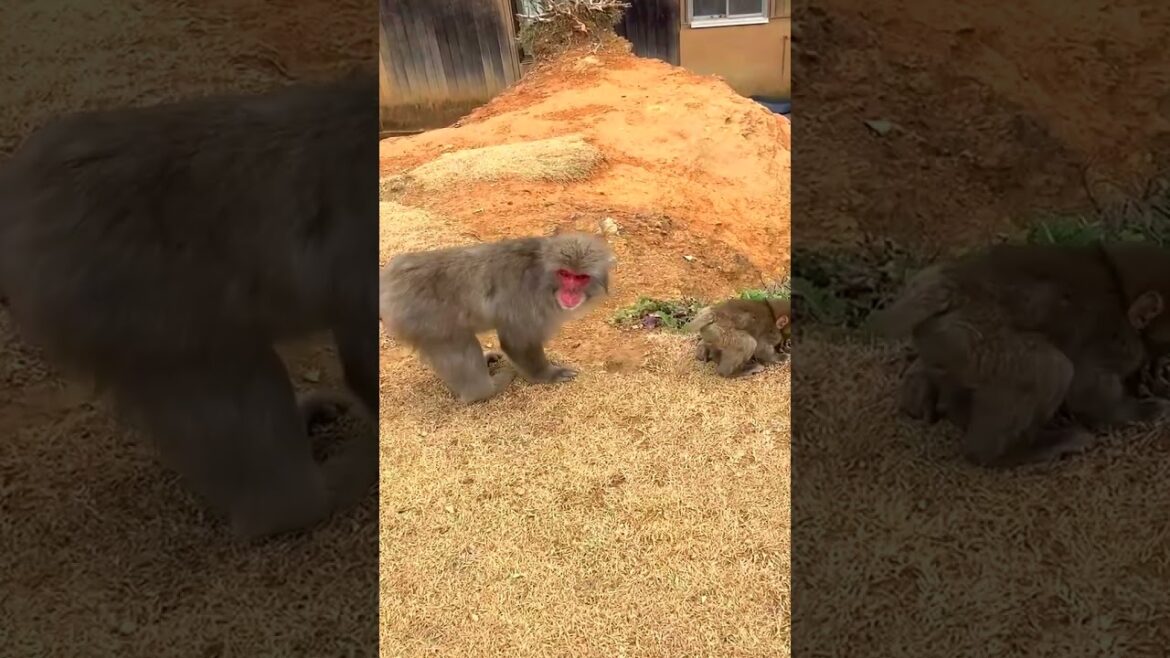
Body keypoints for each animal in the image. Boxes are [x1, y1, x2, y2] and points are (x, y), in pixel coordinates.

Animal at [378, 233, 616, 404]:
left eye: (581, 277)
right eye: (565, 274)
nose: (571, 293)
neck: (544, 279)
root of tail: (389, 281)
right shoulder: (527, 301)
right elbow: (518, 343)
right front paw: (548, 374)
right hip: (427, 320)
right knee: (458, 345)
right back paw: (483, 391)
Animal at [869, 241, 1170, 467]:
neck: (1121, 290)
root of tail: (953, 284)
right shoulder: (1111, 340)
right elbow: (1087, 391)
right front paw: (1140, 410)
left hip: (947, 342)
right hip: (977, 338)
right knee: (1050, 368)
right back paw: (1015, 451)